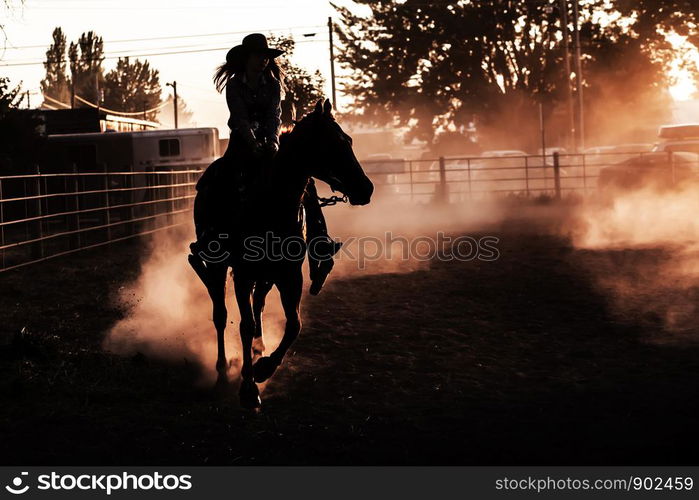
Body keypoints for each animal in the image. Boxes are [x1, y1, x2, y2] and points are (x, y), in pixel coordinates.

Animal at [189, 99, 374, 408]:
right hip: (219, 267)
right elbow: (244, 325)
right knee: (220, 314)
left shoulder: (290, 275)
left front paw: (264, 368)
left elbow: (294, 324)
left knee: (259, 305)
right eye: (333, 144)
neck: (269, 204)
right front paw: (248, 388)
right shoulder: (243, 275)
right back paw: (223, 371)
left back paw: (258, 350)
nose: (366, 188)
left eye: (348, 141)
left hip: (267, 276)